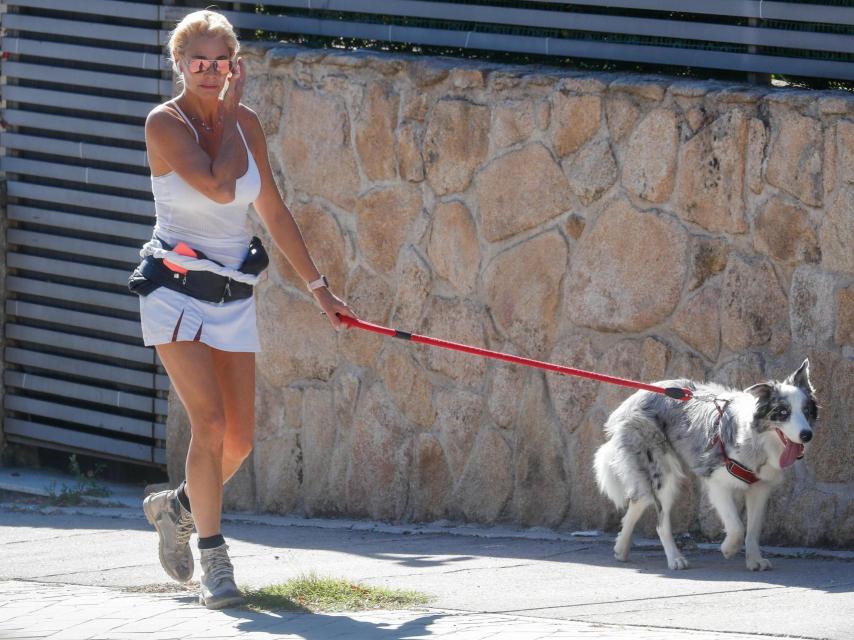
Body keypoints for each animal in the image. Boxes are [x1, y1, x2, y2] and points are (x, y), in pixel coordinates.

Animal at [600, 360, 820, 568]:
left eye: (806, 411)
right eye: (782, 412)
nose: (807, 435)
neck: (756, 439)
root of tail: (634, 398)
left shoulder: (760, 488)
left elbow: (753, 530)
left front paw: (754, 560)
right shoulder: (717, 482)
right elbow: (738, 528)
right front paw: (728, 549)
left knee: (638, 501)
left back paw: (621, 548)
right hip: (664, 474)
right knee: (661, 523)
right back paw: (675, 559)